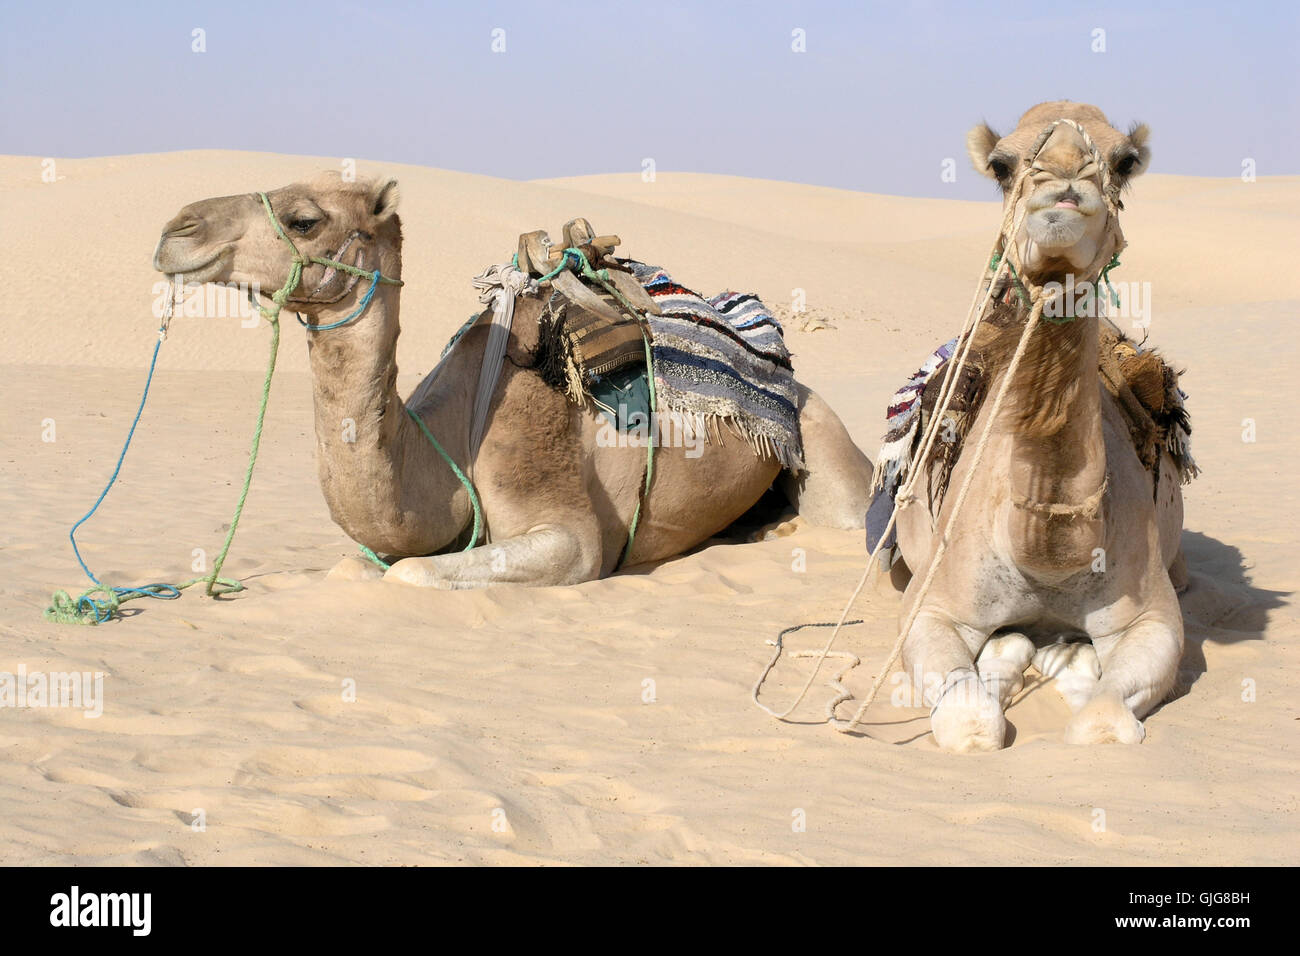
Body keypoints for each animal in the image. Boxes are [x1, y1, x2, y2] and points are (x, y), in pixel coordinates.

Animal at [152, 174, 873, 587]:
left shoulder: (570, 534)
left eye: (305, 219)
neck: (450, 441)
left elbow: (410, 575)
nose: (175, 228)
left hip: (821, 434)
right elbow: (353, 565)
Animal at [889, 100, 1190, 749]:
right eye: (1002, 165)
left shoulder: (1154, 615)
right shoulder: (931, 606)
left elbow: (1102, 723)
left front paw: (1071, 664)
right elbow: (970, 721)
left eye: (1124, 161)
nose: (1065, 182)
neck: (1048, 554)